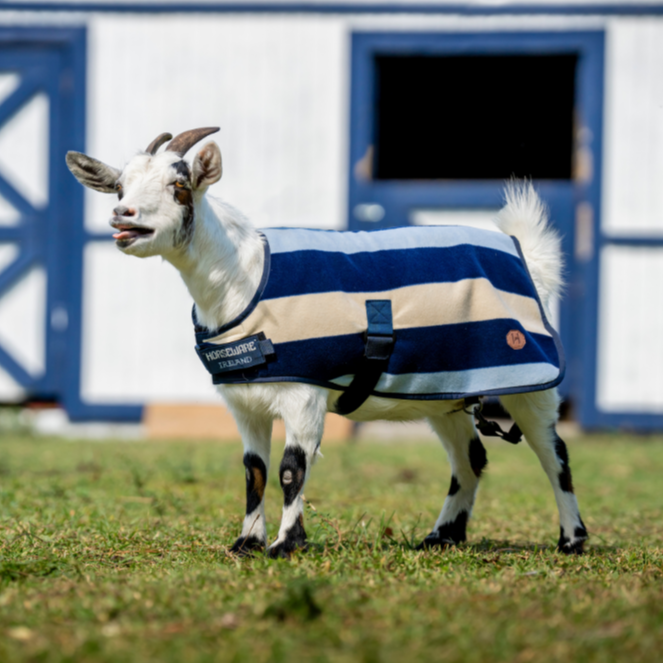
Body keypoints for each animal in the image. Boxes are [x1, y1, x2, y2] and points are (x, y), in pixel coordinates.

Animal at [66, 128, 588, 558]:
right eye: (119, 187)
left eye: (179, 187)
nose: (123, 215)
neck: (243, 277)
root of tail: (527, 260)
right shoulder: (244, 401)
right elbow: (253, 470)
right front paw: (246, 543)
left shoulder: (305, 393)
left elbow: (290, 469)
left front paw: (285, 544)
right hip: (449, 390)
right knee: (471, 457)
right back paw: (443, 536)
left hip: (530, 379)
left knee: (554, 453)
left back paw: (572, 539)